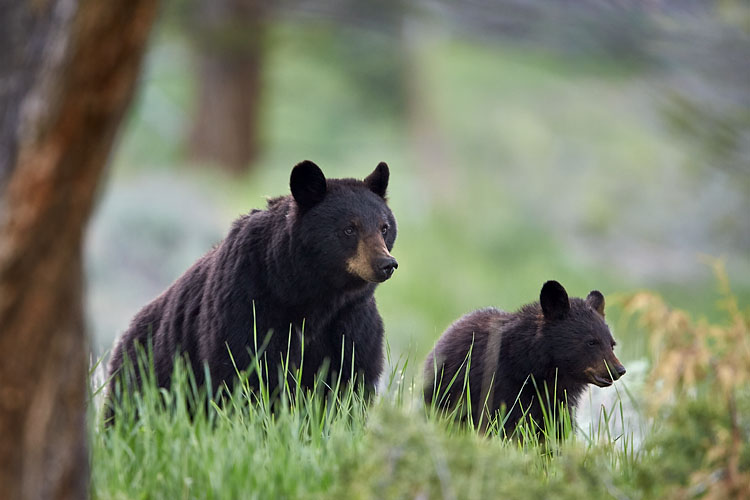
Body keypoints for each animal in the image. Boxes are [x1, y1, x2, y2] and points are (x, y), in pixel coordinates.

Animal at [108, 162, 400, 420]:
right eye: (349, 229)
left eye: (384, 227)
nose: (386, 264)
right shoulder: (249, 303)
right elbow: (246, 372)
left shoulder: (352, 319)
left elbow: (351, 381)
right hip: (144, 376)